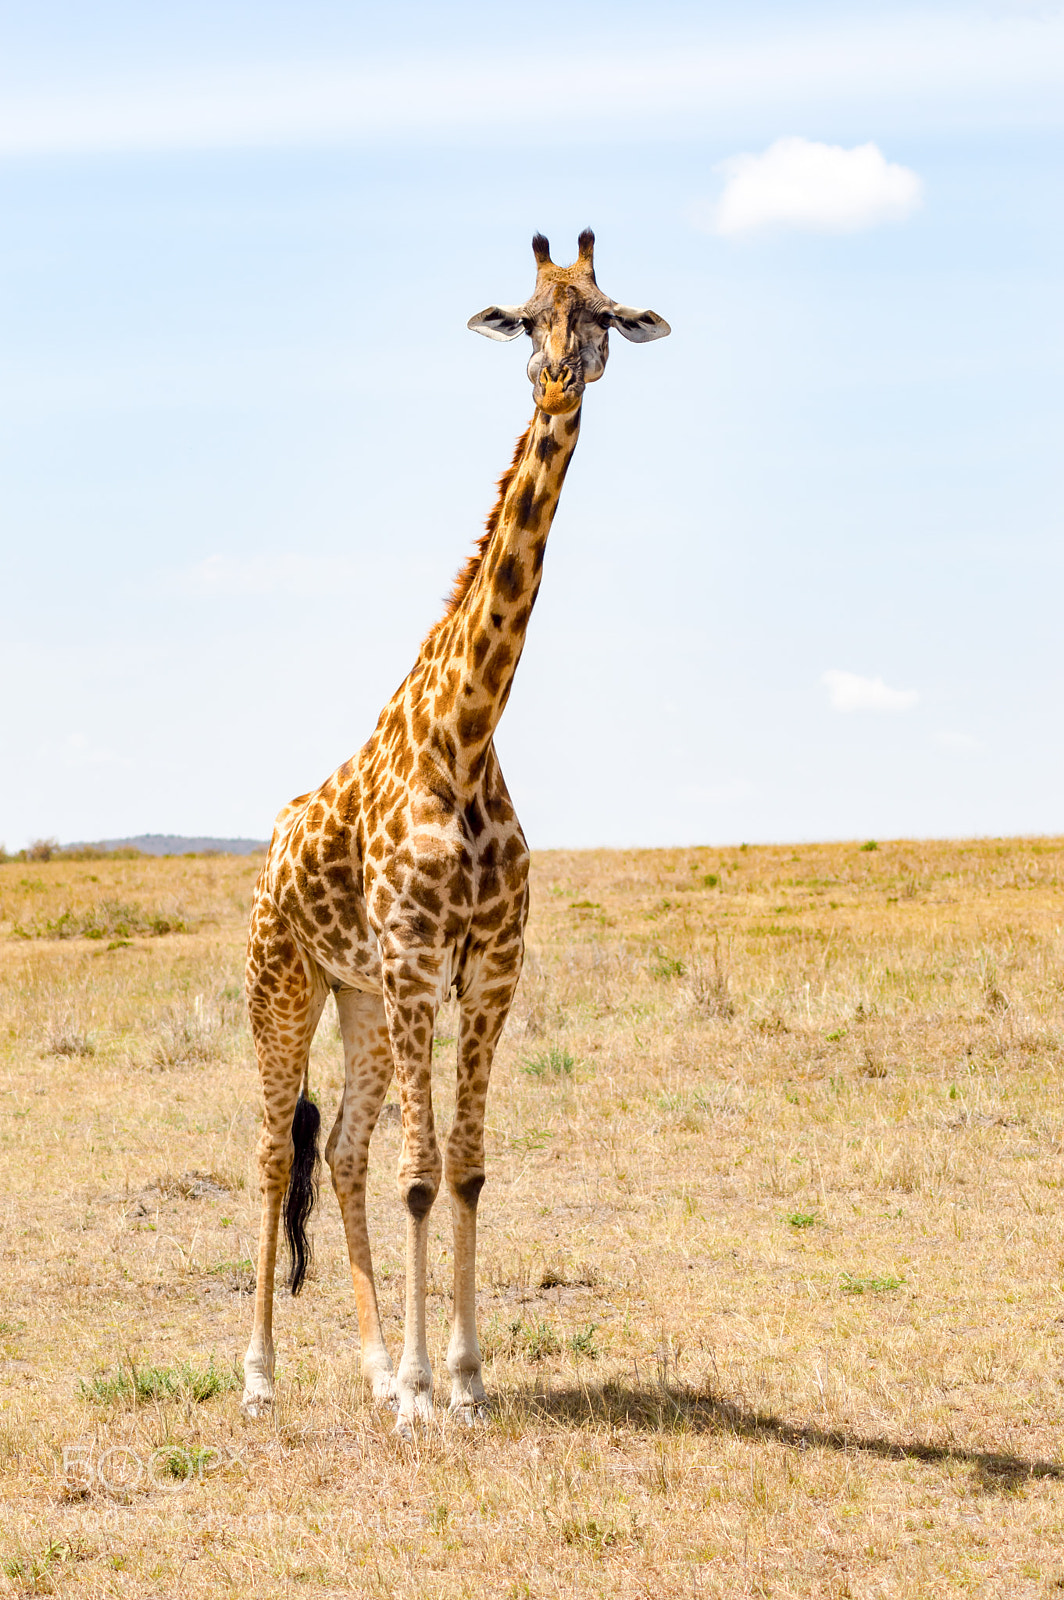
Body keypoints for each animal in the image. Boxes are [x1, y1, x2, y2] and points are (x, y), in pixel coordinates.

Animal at [241, 230, 670, 1438]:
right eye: (526, 315)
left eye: (605, 313)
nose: (563, 376)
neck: (466, 736)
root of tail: (269, 850)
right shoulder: (416, 961)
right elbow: (422, 1177)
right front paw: (426, 1395)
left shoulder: (486, 970)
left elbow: (467, 1169)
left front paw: (461, 1379)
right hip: (285, 983)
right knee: (269, 1154)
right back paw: (262, 1375)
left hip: (359, 1000)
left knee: (339, 1150)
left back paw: (374, 1362)